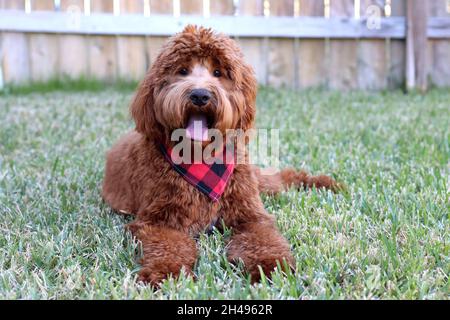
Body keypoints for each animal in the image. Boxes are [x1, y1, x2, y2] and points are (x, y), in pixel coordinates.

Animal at [101, 24, 338, 284]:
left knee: (285, 178)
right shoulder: (157, 221)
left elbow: (263, 239)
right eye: (182, 70)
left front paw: (270, 267)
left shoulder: (250, 214)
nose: (200, 95)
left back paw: (325, 183)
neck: (200, 157)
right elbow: (168, 246)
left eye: (218, 72)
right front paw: (165, 272)